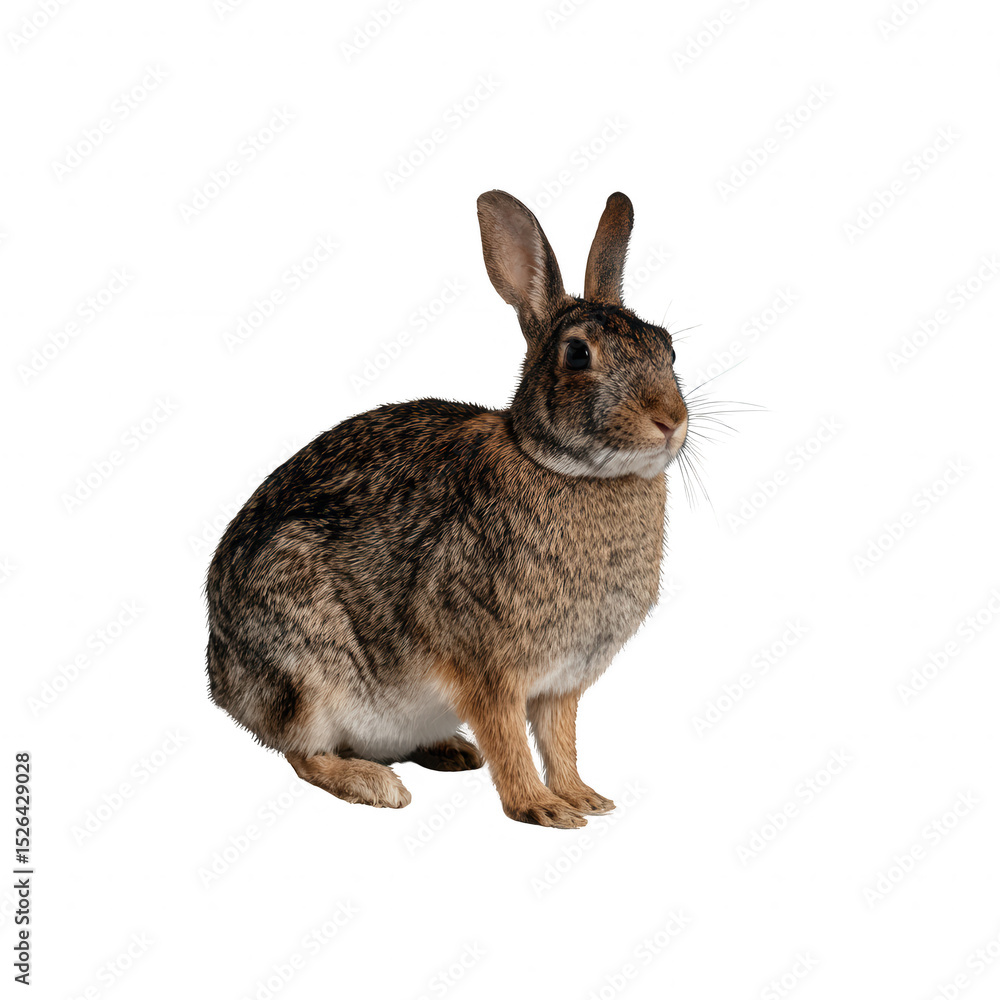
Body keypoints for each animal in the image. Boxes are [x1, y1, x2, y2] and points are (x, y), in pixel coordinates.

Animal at [205, 190, 688, 828]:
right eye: (578, 354)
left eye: (668, 347)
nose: (670, 420)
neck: (564, 467)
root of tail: (220, 677)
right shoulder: (487, 669)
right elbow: (510, 742)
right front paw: (541, 809)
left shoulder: (562, 685)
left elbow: (560, 742)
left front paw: (585, 798)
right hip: (306, 671)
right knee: (303, 752)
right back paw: (375, 785)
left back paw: (450, 751)